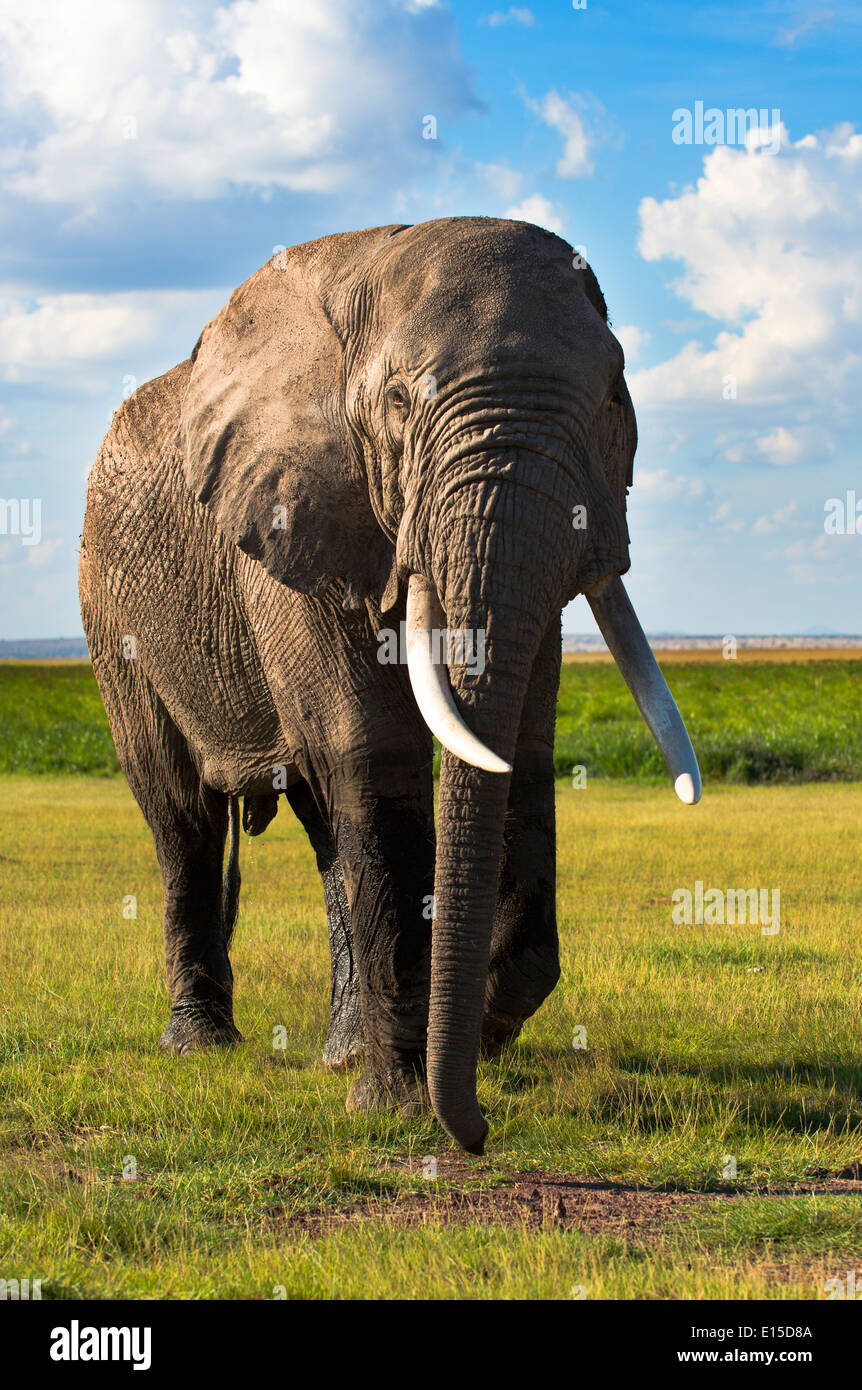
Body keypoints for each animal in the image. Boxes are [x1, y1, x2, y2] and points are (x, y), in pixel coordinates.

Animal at [79, 216, 700, 1150]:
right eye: (401, 404)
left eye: (613, 402)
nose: (475, 1133)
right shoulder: (287, 514)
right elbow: (372, 751)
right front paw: (402, 1103)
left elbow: (518, 743)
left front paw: (478, 1028)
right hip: (112, 606)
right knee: (181, 812)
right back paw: (202, 1046)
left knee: (320, 821)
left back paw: (340, 1054)